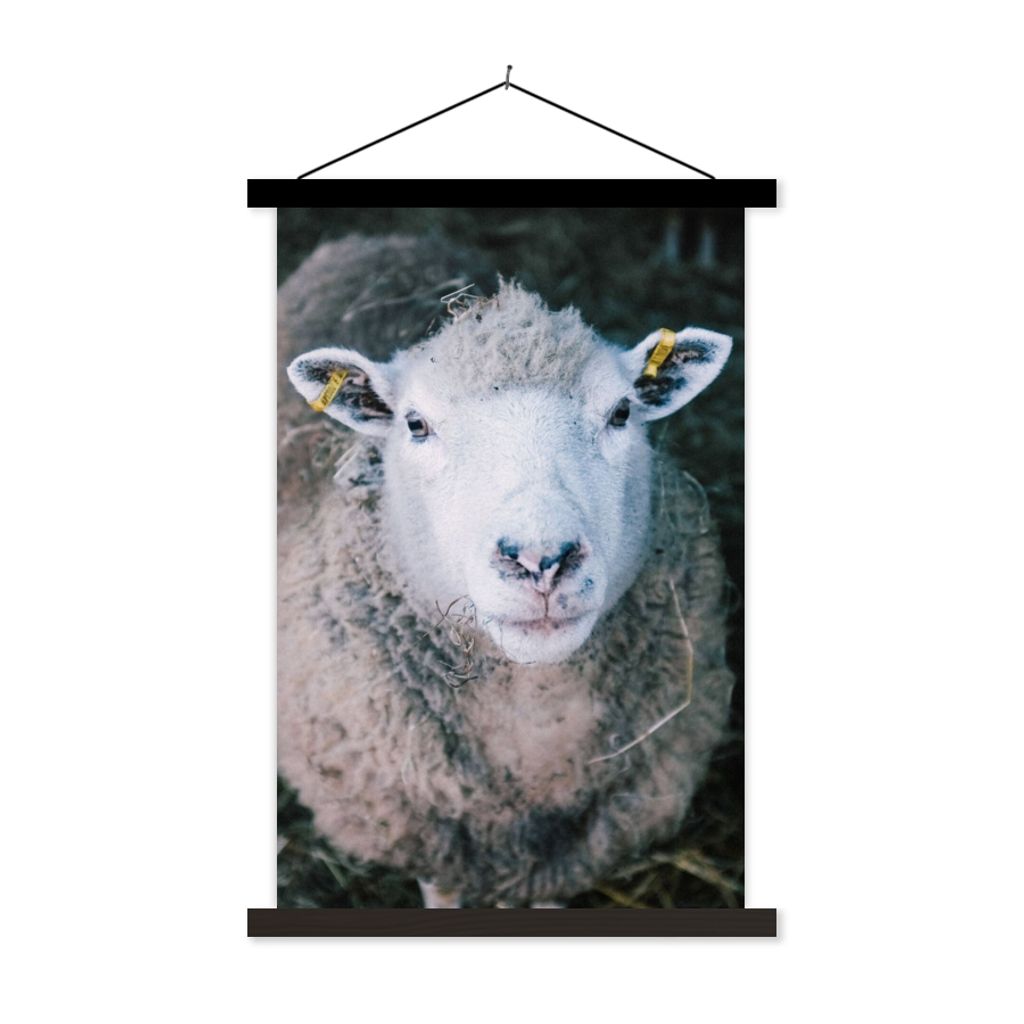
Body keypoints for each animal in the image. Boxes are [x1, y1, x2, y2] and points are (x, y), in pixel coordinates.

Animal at [278, 235, 736, 908]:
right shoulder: (429, 834)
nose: (540, 560)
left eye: (621, 413)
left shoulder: (570, 854)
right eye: (415, 424)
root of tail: (378, 238)